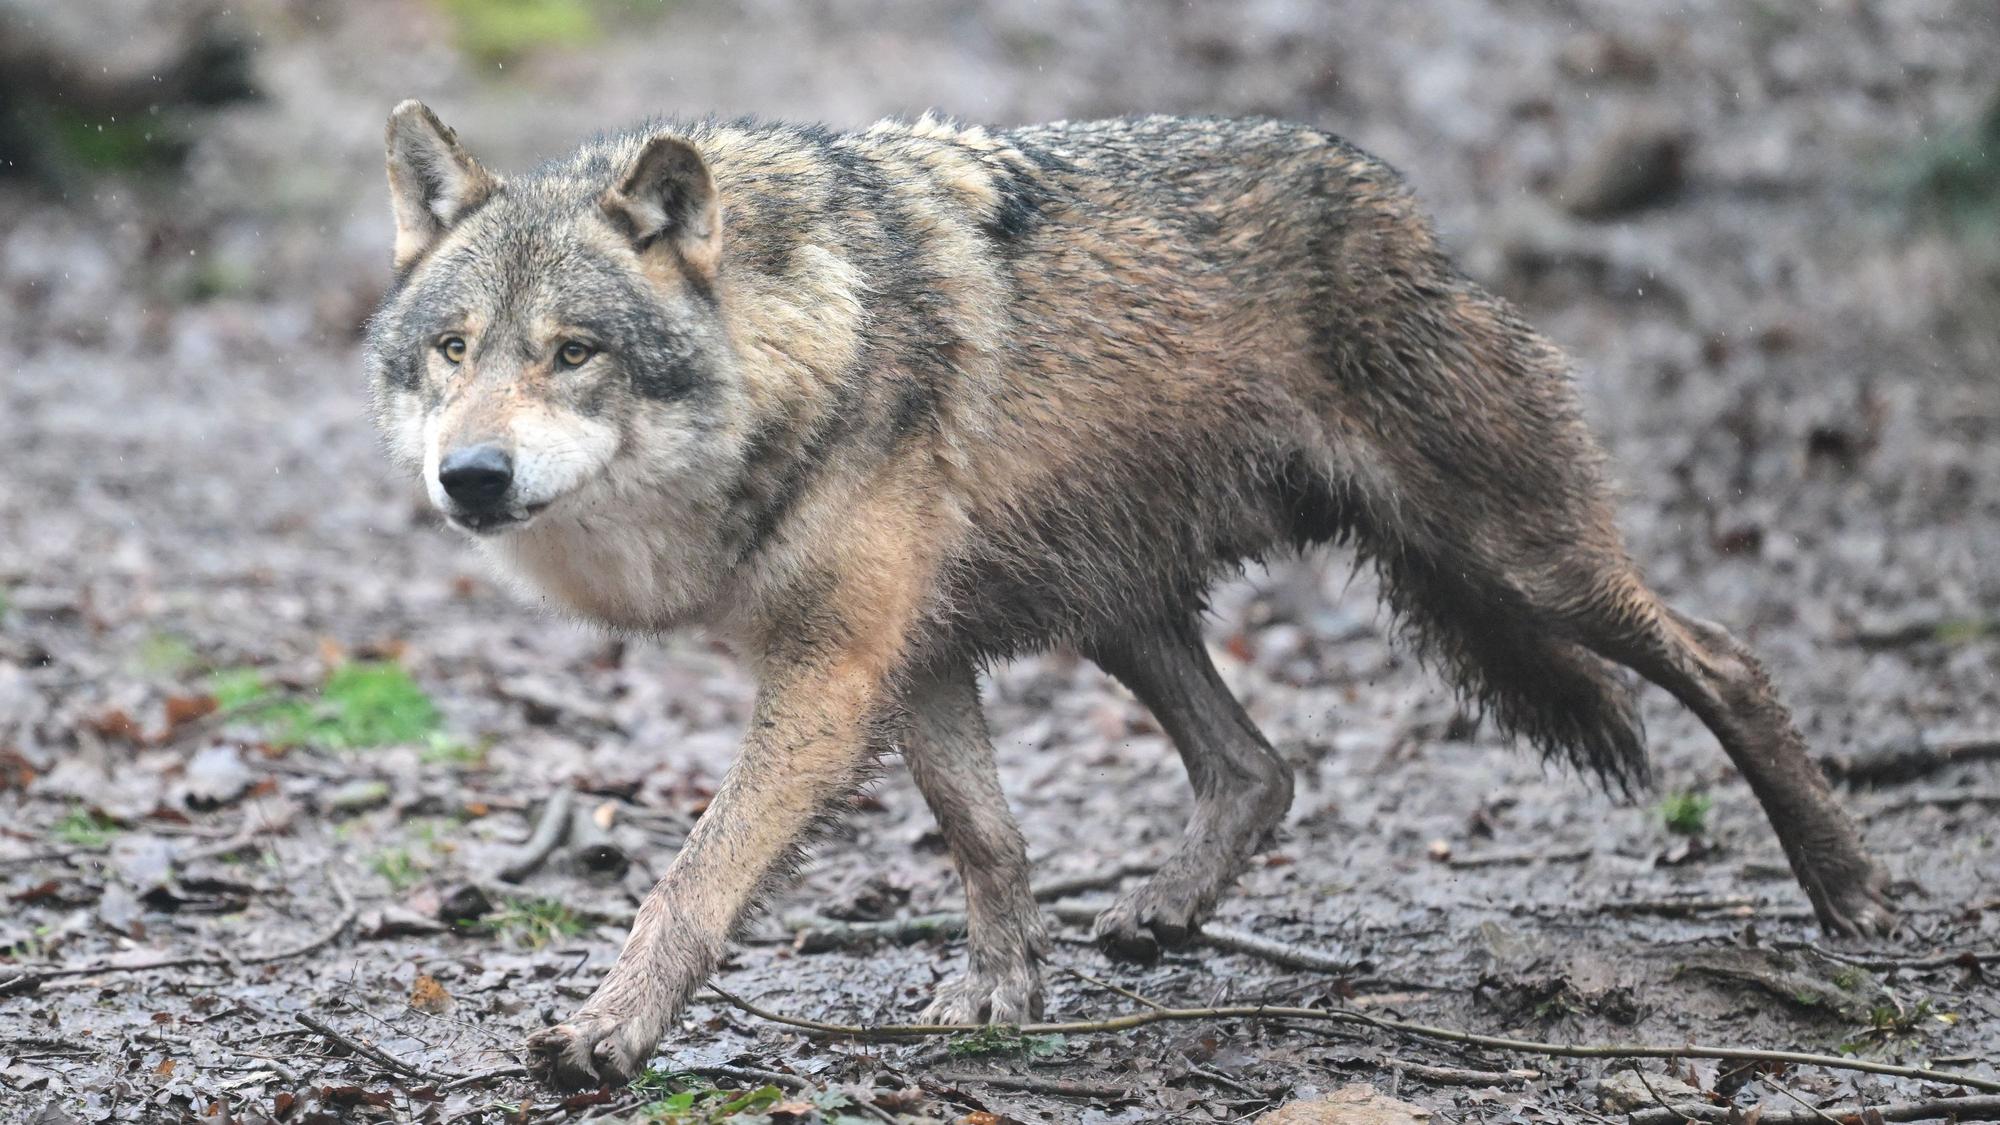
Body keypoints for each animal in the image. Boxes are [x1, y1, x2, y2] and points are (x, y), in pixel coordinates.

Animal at [364, 101, 1895, 1087]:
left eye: (572, 352)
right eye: (453, 348)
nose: (471, 477)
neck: (800, 345)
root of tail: (1404, 208)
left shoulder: (834, 669)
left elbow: (691, 879)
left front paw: (606, 1034)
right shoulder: (912, 656)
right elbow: (986, 836)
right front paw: (1001, 994)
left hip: (1517, 560)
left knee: (1727, 658)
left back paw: (1849, 893)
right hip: (1120, 607)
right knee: (1259, 766)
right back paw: (1161, 912)